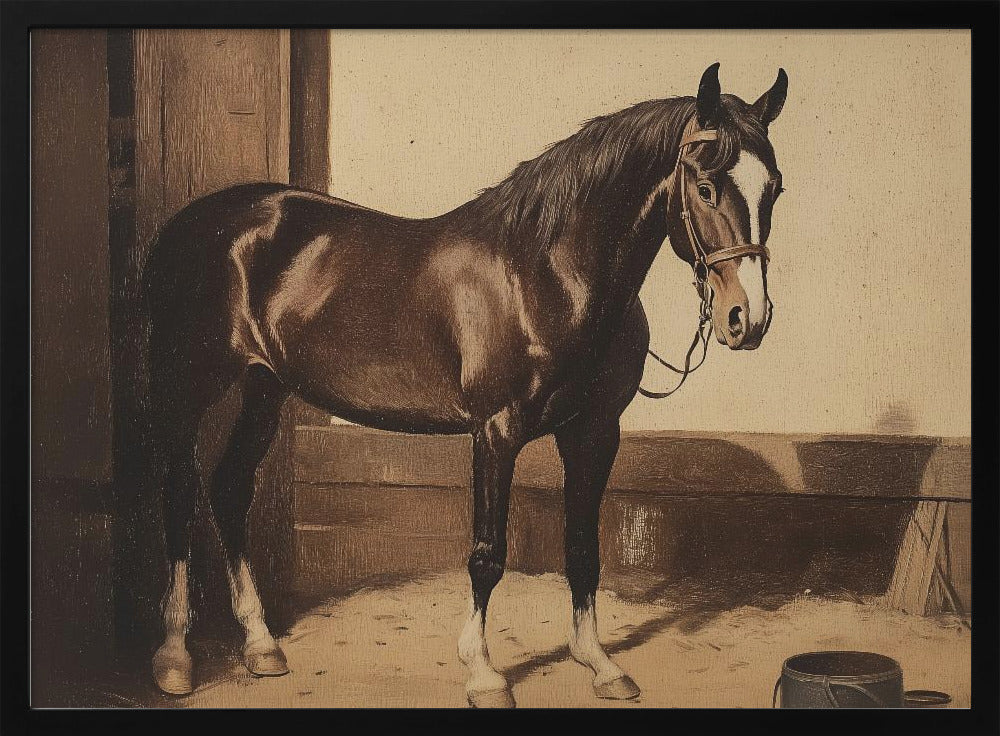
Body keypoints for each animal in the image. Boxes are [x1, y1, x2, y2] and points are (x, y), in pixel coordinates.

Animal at [143, 62, 787, 707]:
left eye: (774, 188)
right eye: (705, 187)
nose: (747, 319)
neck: (546, 274)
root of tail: (192, 225)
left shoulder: (595, 432)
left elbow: (583, 549)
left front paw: (599, 664)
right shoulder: (497, 432)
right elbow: (487, 555)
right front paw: (483, 672)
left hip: (265, 387)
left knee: (229, 488)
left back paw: (261, 647)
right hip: (187, 388)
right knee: (177, 495)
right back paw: (175, 657)